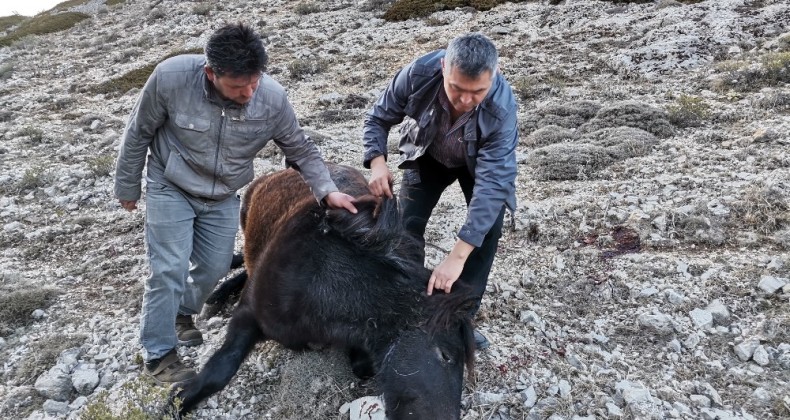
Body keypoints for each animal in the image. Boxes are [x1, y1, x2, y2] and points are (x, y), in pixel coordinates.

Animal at [172, 165, 476, 420]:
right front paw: (177, 403)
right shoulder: (248, 316)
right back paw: (216, 296)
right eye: (446, 356)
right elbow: (220, 369)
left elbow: (363, 365)